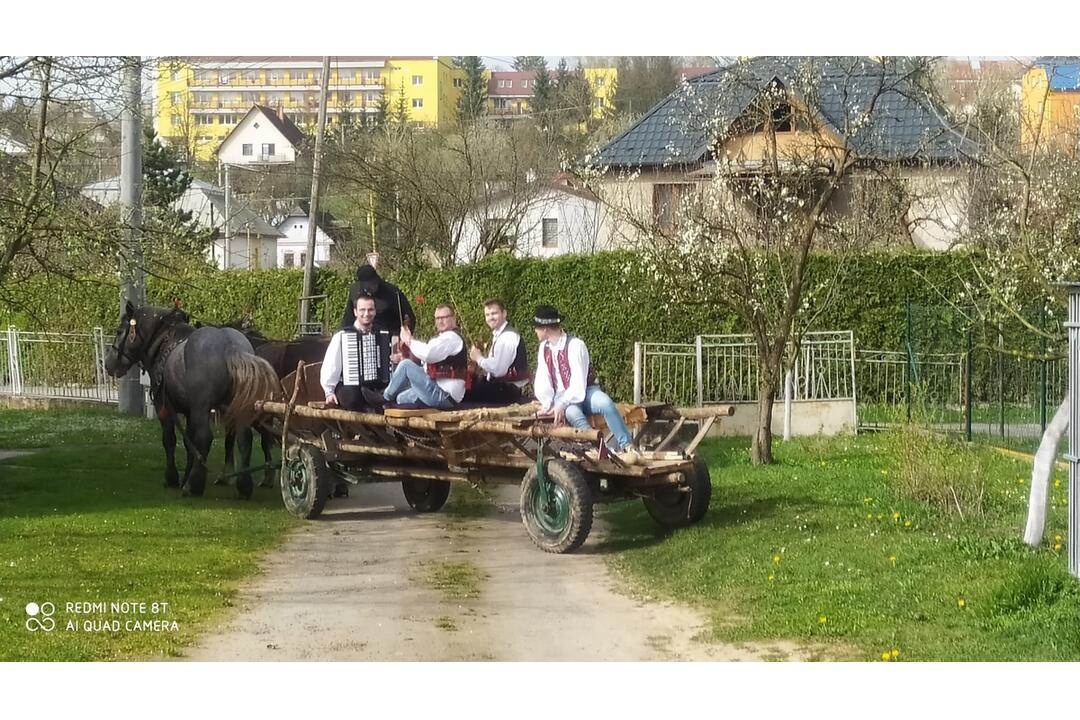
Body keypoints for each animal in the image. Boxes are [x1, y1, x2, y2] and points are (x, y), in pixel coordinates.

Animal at [104, 302, 280, 498]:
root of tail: (230, 347)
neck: (164, 341)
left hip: (202, 406)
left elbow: (170, 439)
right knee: (244, 438)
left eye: (119, 331)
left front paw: (173, 477)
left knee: (205, 438)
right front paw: (186, 474)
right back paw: (243, 486)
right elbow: (189, 442)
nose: (108, 364)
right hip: (234, 407)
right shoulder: (189, 411)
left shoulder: (164, 406)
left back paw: (194, 485)